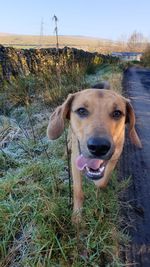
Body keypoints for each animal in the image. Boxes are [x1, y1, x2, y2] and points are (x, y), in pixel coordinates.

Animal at [47, 86, 142, 224]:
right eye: (81, 111)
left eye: (117, 113)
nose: (99, 147)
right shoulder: (75, 162)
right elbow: (78, 192)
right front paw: (77, 218)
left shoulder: (113, 159)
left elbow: (102, 183)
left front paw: (97, 195)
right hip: (70, 136)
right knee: (68, 144)